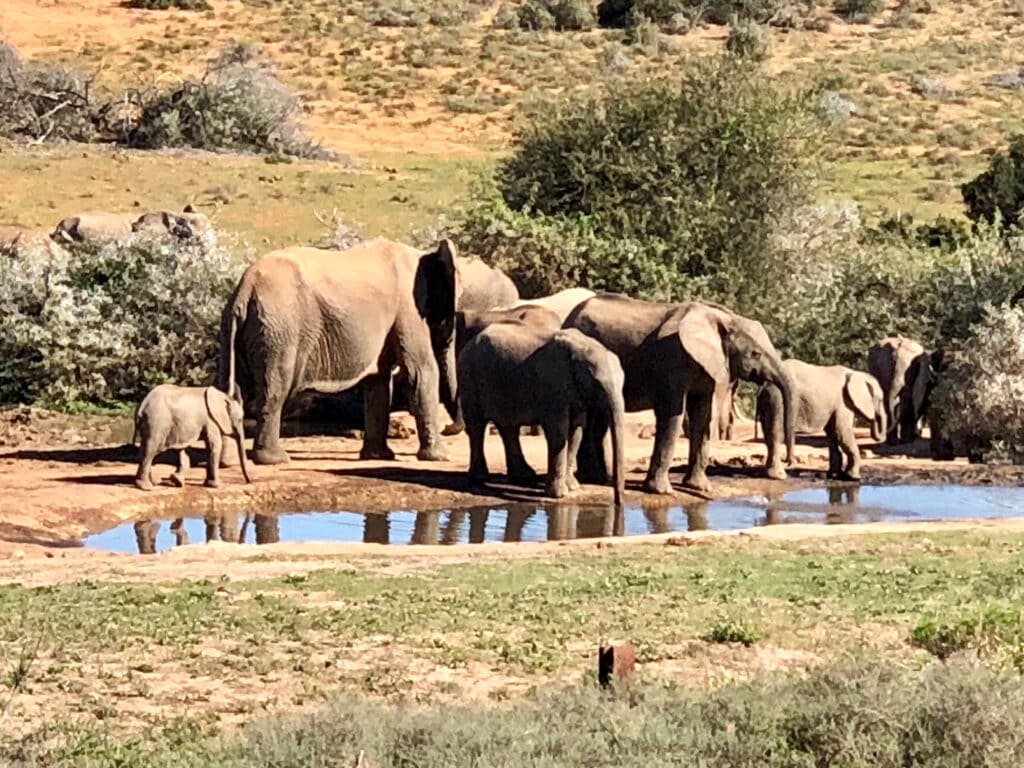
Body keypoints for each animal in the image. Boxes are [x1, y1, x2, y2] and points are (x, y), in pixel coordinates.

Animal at [222, 237, 458, 466]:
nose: (448, 429)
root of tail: (246, 288)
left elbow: (378, 380)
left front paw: (378, 457)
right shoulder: (409, 309)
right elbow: (420, 372)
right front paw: (440, 457)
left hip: (241, 329)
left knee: (231, 391)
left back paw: (230, 461)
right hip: (278, 330)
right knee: (275, 388)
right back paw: (275, 460)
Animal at [458, 323, 622, 505]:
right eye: (597, 384)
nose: (617, 503)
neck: (583, 347)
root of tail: (469, 342)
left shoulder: (576, 392)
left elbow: (576, 431)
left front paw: (572, 487)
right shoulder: (553, 385)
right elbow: (558, 432)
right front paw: (558, 494)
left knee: (508, 427)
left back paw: (523, 477)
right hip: (469, 379)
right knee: (477, 426)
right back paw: (480, 477)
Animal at [569, 294, 790, 493]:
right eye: (755, 354)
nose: (789, 462)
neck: (722, 318)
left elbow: (702, 415)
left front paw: (700, 488)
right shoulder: (672, 358)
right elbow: (672, 415)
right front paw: (662, 491)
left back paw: (598, 479)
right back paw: (594, 479)